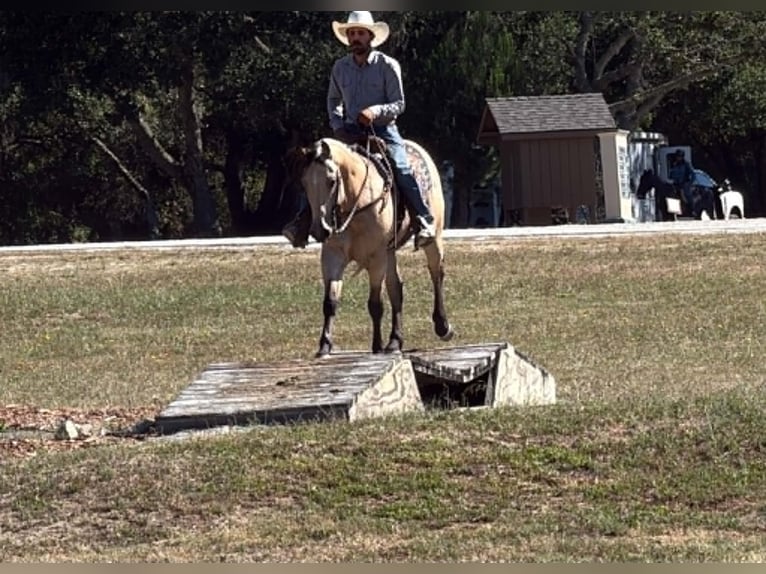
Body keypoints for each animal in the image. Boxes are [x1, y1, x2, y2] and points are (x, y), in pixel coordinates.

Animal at [286, 136, 455, 358]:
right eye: (304, 183)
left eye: (331, 181)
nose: (320, 230)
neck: (356, 203)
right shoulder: (332, 256)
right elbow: (330, 302)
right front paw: (324, 346)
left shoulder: (376, 258)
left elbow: (375, 304)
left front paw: (376, 345)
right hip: (390, 252)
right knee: (396, 288)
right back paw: (394, 341)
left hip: (433, 239)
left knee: (437, 274)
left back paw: (443, 326)